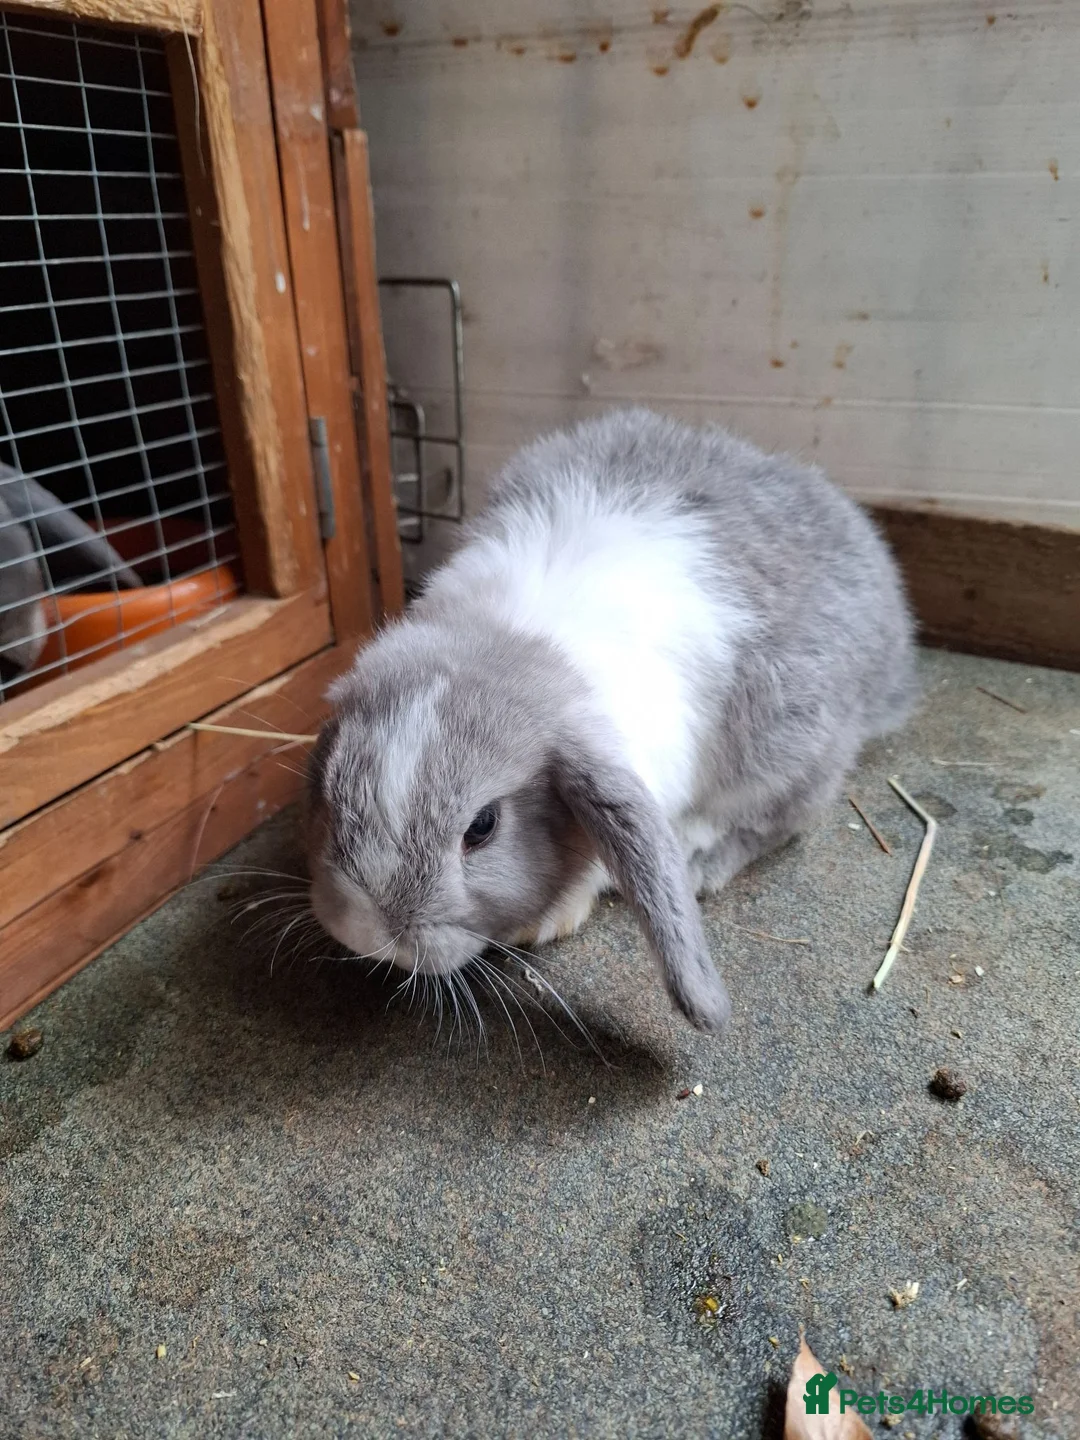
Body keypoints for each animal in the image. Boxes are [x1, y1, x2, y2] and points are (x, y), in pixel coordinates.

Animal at [308, 409, 916, 1032]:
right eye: (329, 798)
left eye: (482, 827)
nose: (370, 935)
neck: (514, 636)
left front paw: (550, 920)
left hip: (791, 747)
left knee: (780, 821)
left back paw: (699, 860)